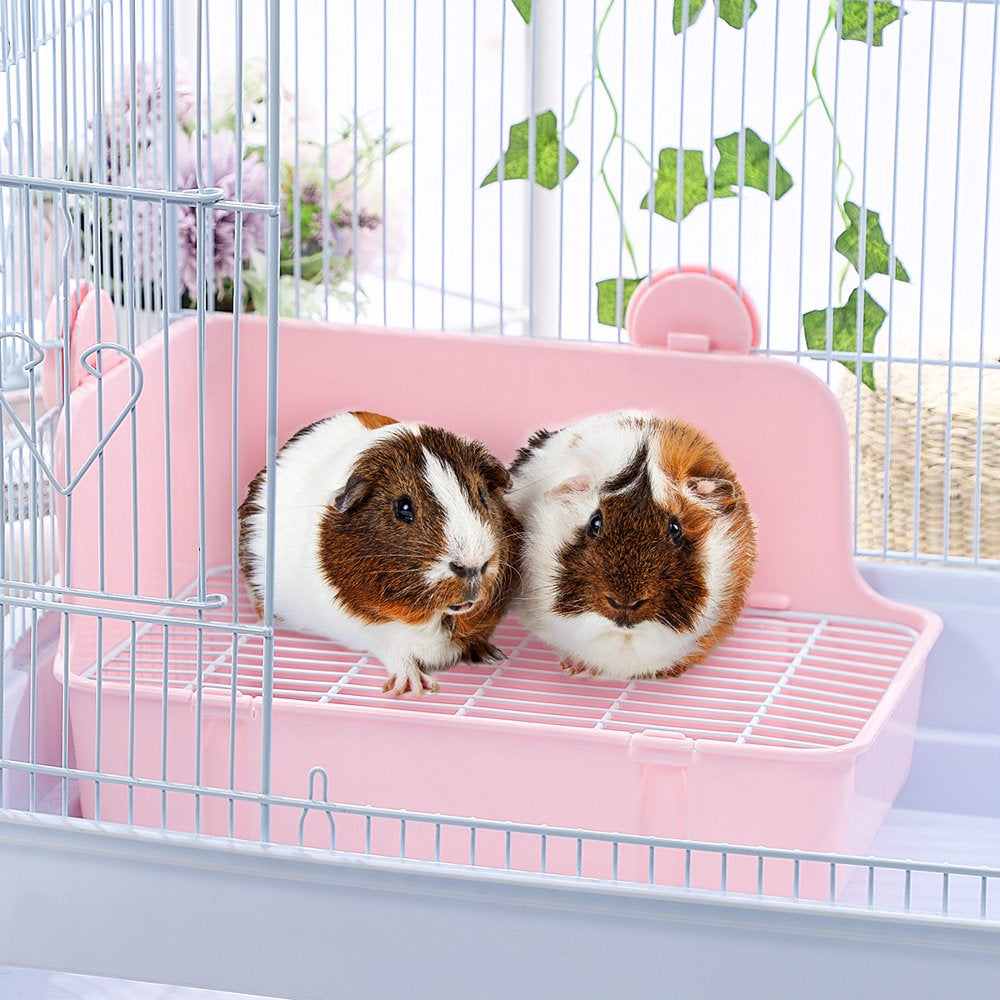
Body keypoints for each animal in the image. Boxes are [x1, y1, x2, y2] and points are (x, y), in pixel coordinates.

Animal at [238, 410, 521, 695]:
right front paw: (414, 687)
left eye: (481, 494)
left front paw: (492, 655)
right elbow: (399, 655)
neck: (438, 616)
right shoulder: (373, 632)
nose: (473, 566)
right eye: (403, 507)